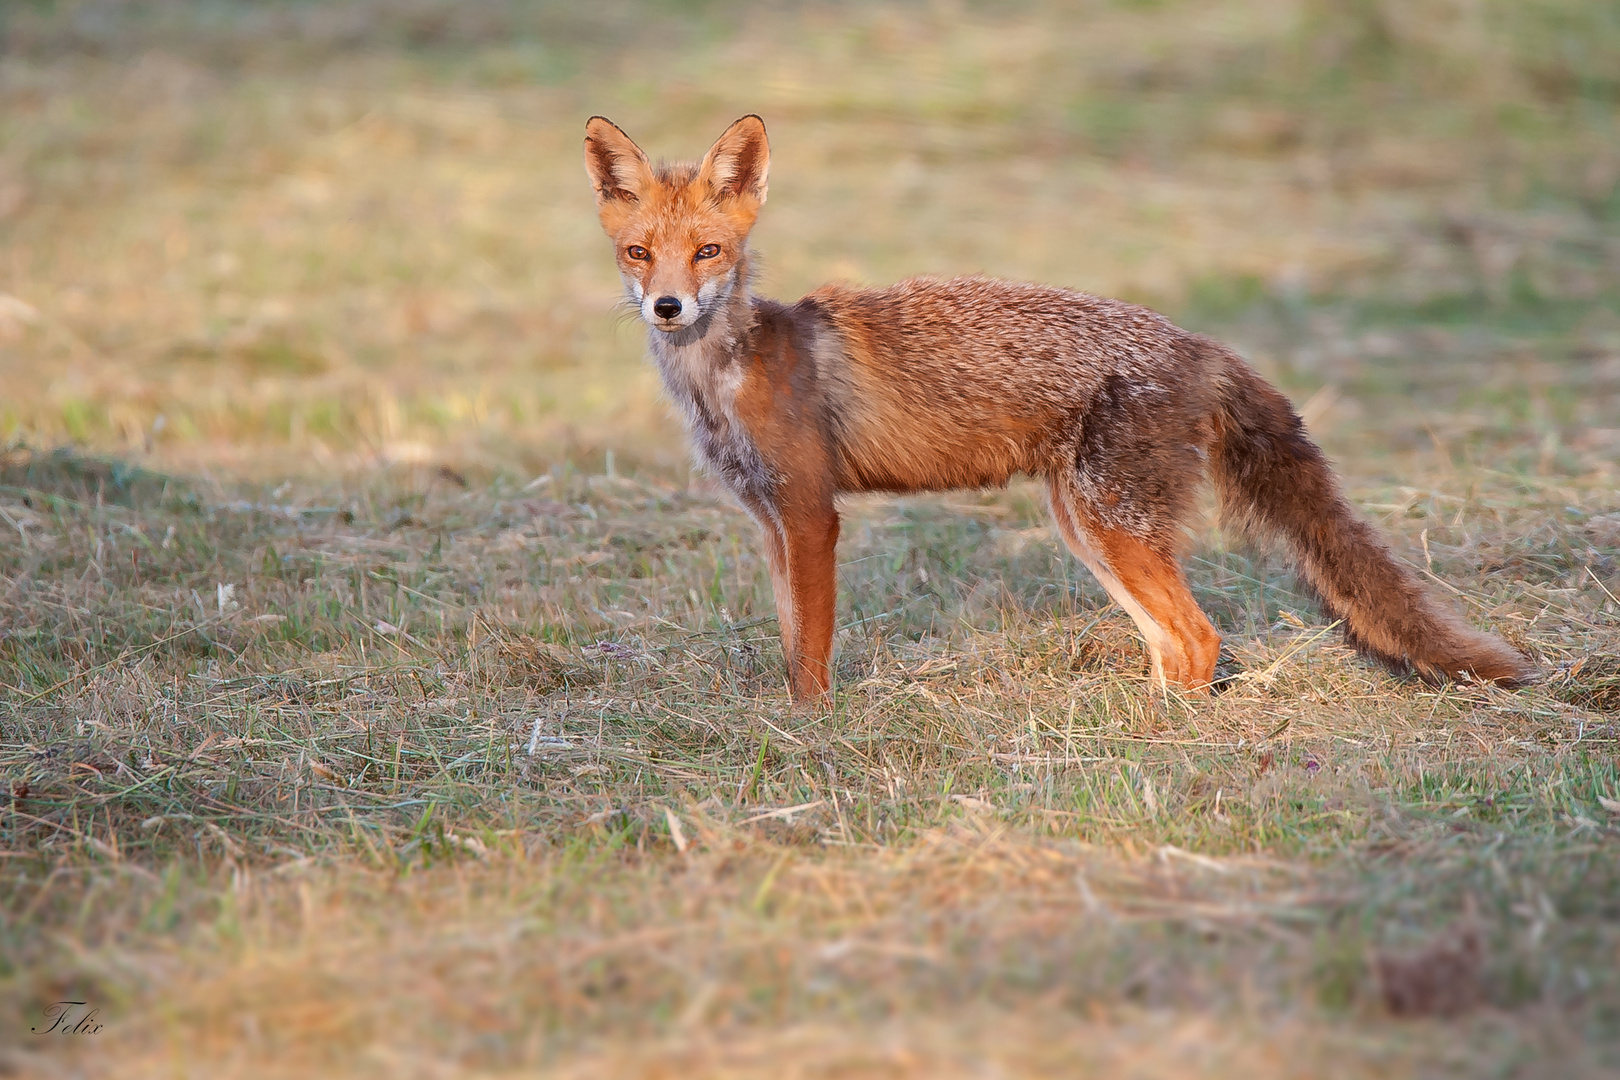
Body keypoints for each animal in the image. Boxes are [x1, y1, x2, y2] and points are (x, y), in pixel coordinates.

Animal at [579, 111, 1529, 702]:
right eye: (639, 254)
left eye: (709, 252)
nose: (668, 308)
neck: (726, 376)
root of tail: (1197, 343)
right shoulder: (771, 522)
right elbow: (786, 643)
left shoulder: (812, 514)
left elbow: (810, 654)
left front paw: (812, 734)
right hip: (1089, 530)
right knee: (1179, 644)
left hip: (1108, 525)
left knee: (1200, 639)